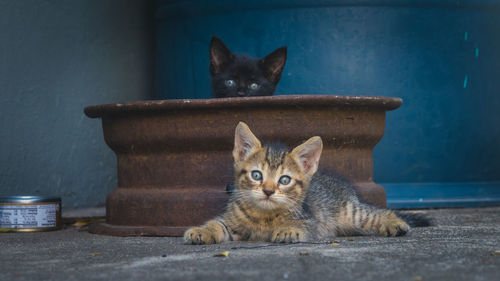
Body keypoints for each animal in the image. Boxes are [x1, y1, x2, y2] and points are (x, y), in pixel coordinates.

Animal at [184, 122, 430, 243]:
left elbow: (302, 226)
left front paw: (288, 230)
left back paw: (395, 223)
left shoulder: (312, 221)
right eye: (257, 175)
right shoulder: (233, 221)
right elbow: (218, 224)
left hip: (351, 213)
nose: (268, 191)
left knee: (378, 212)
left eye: (284, 180)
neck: (263, 216)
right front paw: (201, 231)